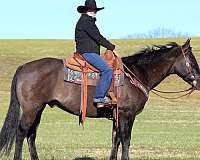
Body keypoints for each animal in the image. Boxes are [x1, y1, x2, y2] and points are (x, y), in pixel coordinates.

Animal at [0, 38, 199, 160]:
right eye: (192, 60)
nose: (199, 80)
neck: (136, 74)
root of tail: (24, 67)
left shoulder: (118, 116)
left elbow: (115, 140)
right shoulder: (127, 115)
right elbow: (126, 140)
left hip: (38, 109)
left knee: (31, 134)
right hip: (30, 109)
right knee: (21, 132)